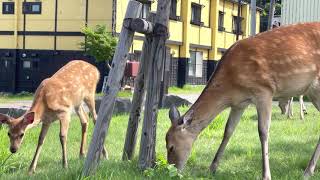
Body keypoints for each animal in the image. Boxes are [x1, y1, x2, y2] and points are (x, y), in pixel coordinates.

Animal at [166, 22, 320, 180]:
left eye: (171, 147)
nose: (171, 171)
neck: (230, 85)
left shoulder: (264, 91)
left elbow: (263, 131)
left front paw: (266, 175)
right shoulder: (239, 103)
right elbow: (228, 130)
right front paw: (212, 168)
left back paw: (307, 170)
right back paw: (309, 170)